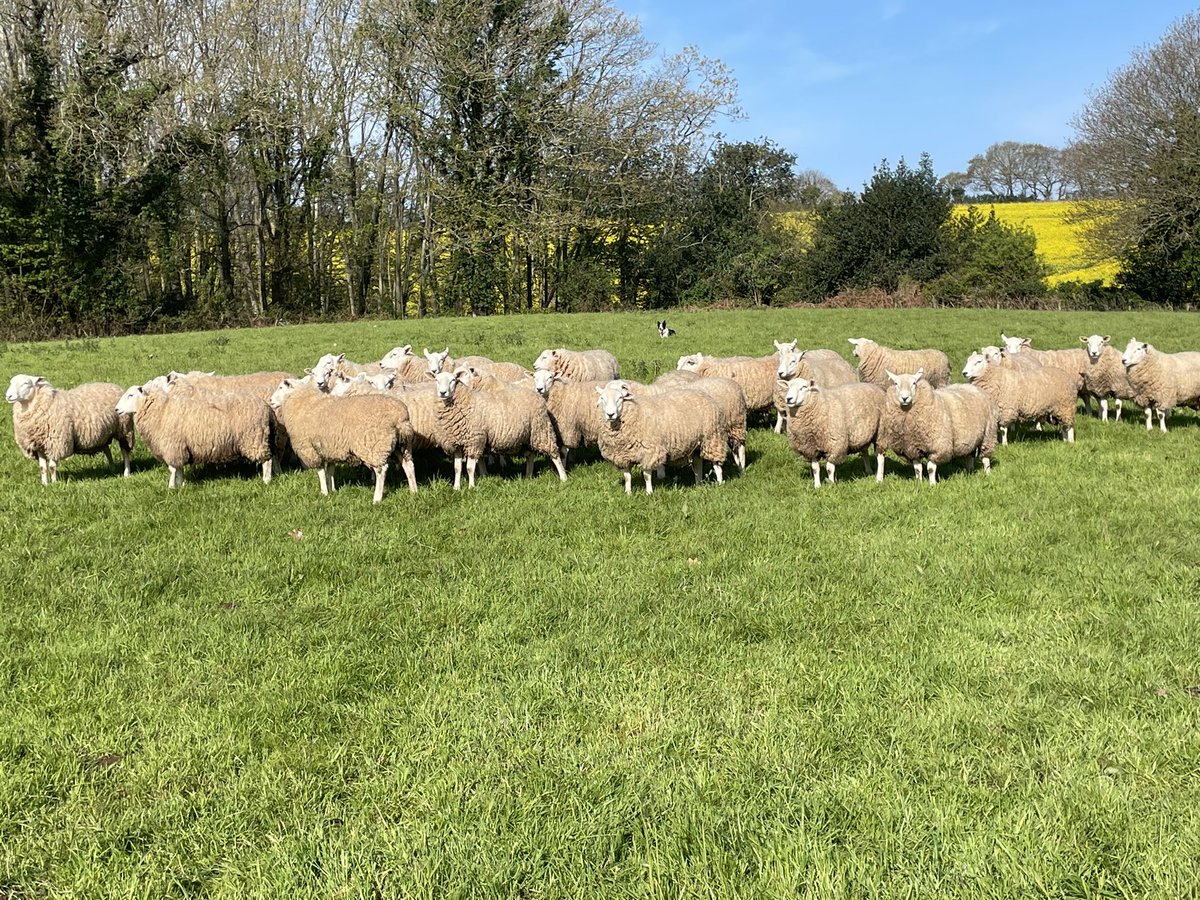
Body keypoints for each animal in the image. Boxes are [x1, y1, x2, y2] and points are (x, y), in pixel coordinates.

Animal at [115, 383, 274, 488]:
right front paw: (182, 484)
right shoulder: (179, 447)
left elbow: (172, 468)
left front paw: (171, 487)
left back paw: (266, 481)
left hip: (255, 439)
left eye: (131, 395)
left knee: (267, 460)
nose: (116, 409)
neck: (162, 410)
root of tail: (265, 406)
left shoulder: (172, 446)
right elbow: (179, 468)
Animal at [269, 377, 417, 502]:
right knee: (408, 465)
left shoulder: (311, 449)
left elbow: (321, 471)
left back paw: (377, 498)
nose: (270, 401)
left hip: (374, 446)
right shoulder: (330, 448)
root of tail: (399, 417)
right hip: (402, 445)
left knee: (381, 470)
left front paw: (324, 492)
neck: (302, 401)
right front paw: (332, 489)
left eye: (281, 387)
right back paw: (413, 491)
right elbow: (330, 470)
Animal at [432, 367, 567, 489]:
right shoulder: (457, 443)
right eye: (437, 380)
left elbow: (470, 468)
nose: (443, 393)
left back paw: (563, 477)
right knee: (530, 455)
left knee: (555, 454)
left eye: (453, 380)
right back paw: (528, 476)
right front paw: (456, 487)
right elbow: (457, 468)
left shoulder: (474, 441)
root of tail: (537, 395)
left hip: (542, 430)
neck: (466, 402)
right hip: (528, 435)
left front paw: (471, 487)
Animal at [594, 380, 727, 494]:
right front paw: (628, 493)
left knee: (717, 465)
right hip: (696, 445)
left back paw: (720, 484)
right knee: (697, 464)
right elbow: (627, 476)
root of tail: (704, 395)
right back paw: (698, 484)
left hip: (713, 439)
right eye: (602, 398)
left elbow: (646, 475)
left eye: (620, 398)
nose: (610, 414)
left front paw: (649, 492)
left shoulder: (648, 451)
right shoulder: (623, 455)